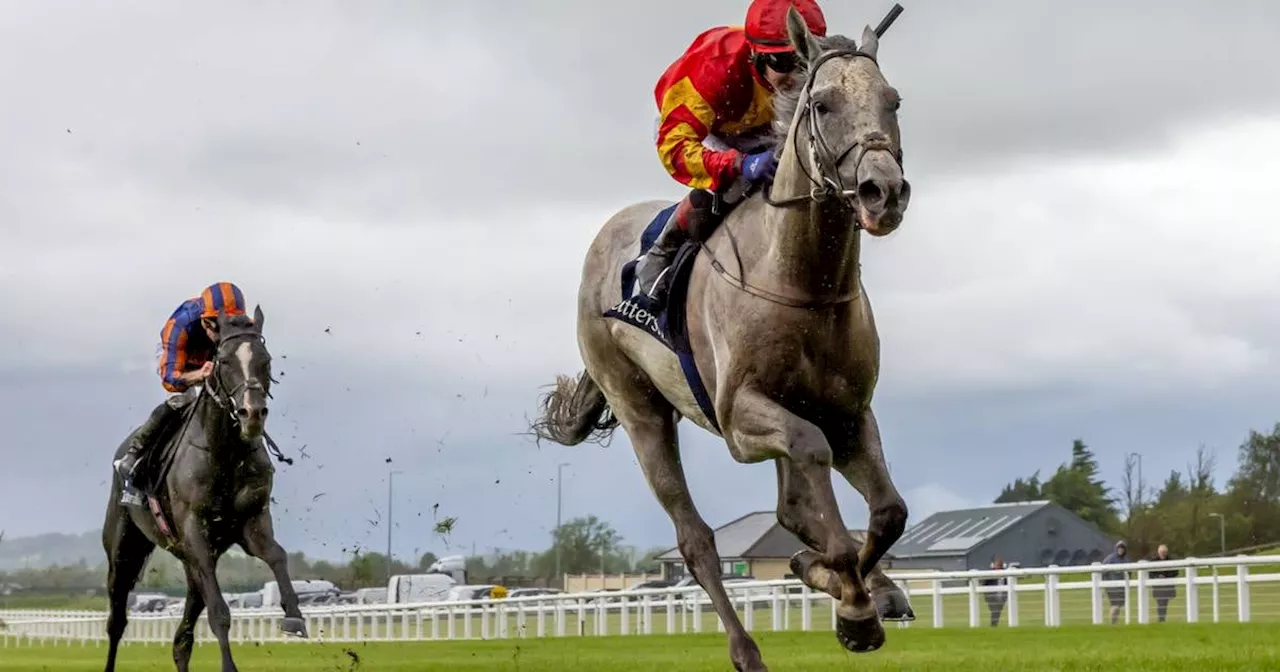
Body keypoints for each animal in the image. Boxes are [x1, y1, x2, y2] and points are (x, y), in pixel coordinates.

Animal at [100, 308, 304, 670]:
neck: (224, 452)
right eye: (223, 360)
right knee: (117, 621)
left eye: (265, 360)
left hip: (188, 559)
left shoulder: (251, 524)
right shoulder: (196, 532)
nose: (252, 413)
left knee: (181, 640)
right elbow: (219, 613)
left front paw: (294, 615)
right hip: (124, 549)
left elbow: (278, 555)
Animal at [529, 7, 911, 665]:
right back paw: (746, 648)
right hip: (640, 412)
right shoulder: (741, 418)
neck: (800, 280)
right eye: (824, 104)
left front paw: (849, 591)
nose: (883, 192)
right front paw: (851, 604)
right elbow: (812, 457)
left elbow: (889, 511)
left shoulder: (848, 413)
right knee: (696, 540)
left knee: (792, 507)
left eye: (893, 101)